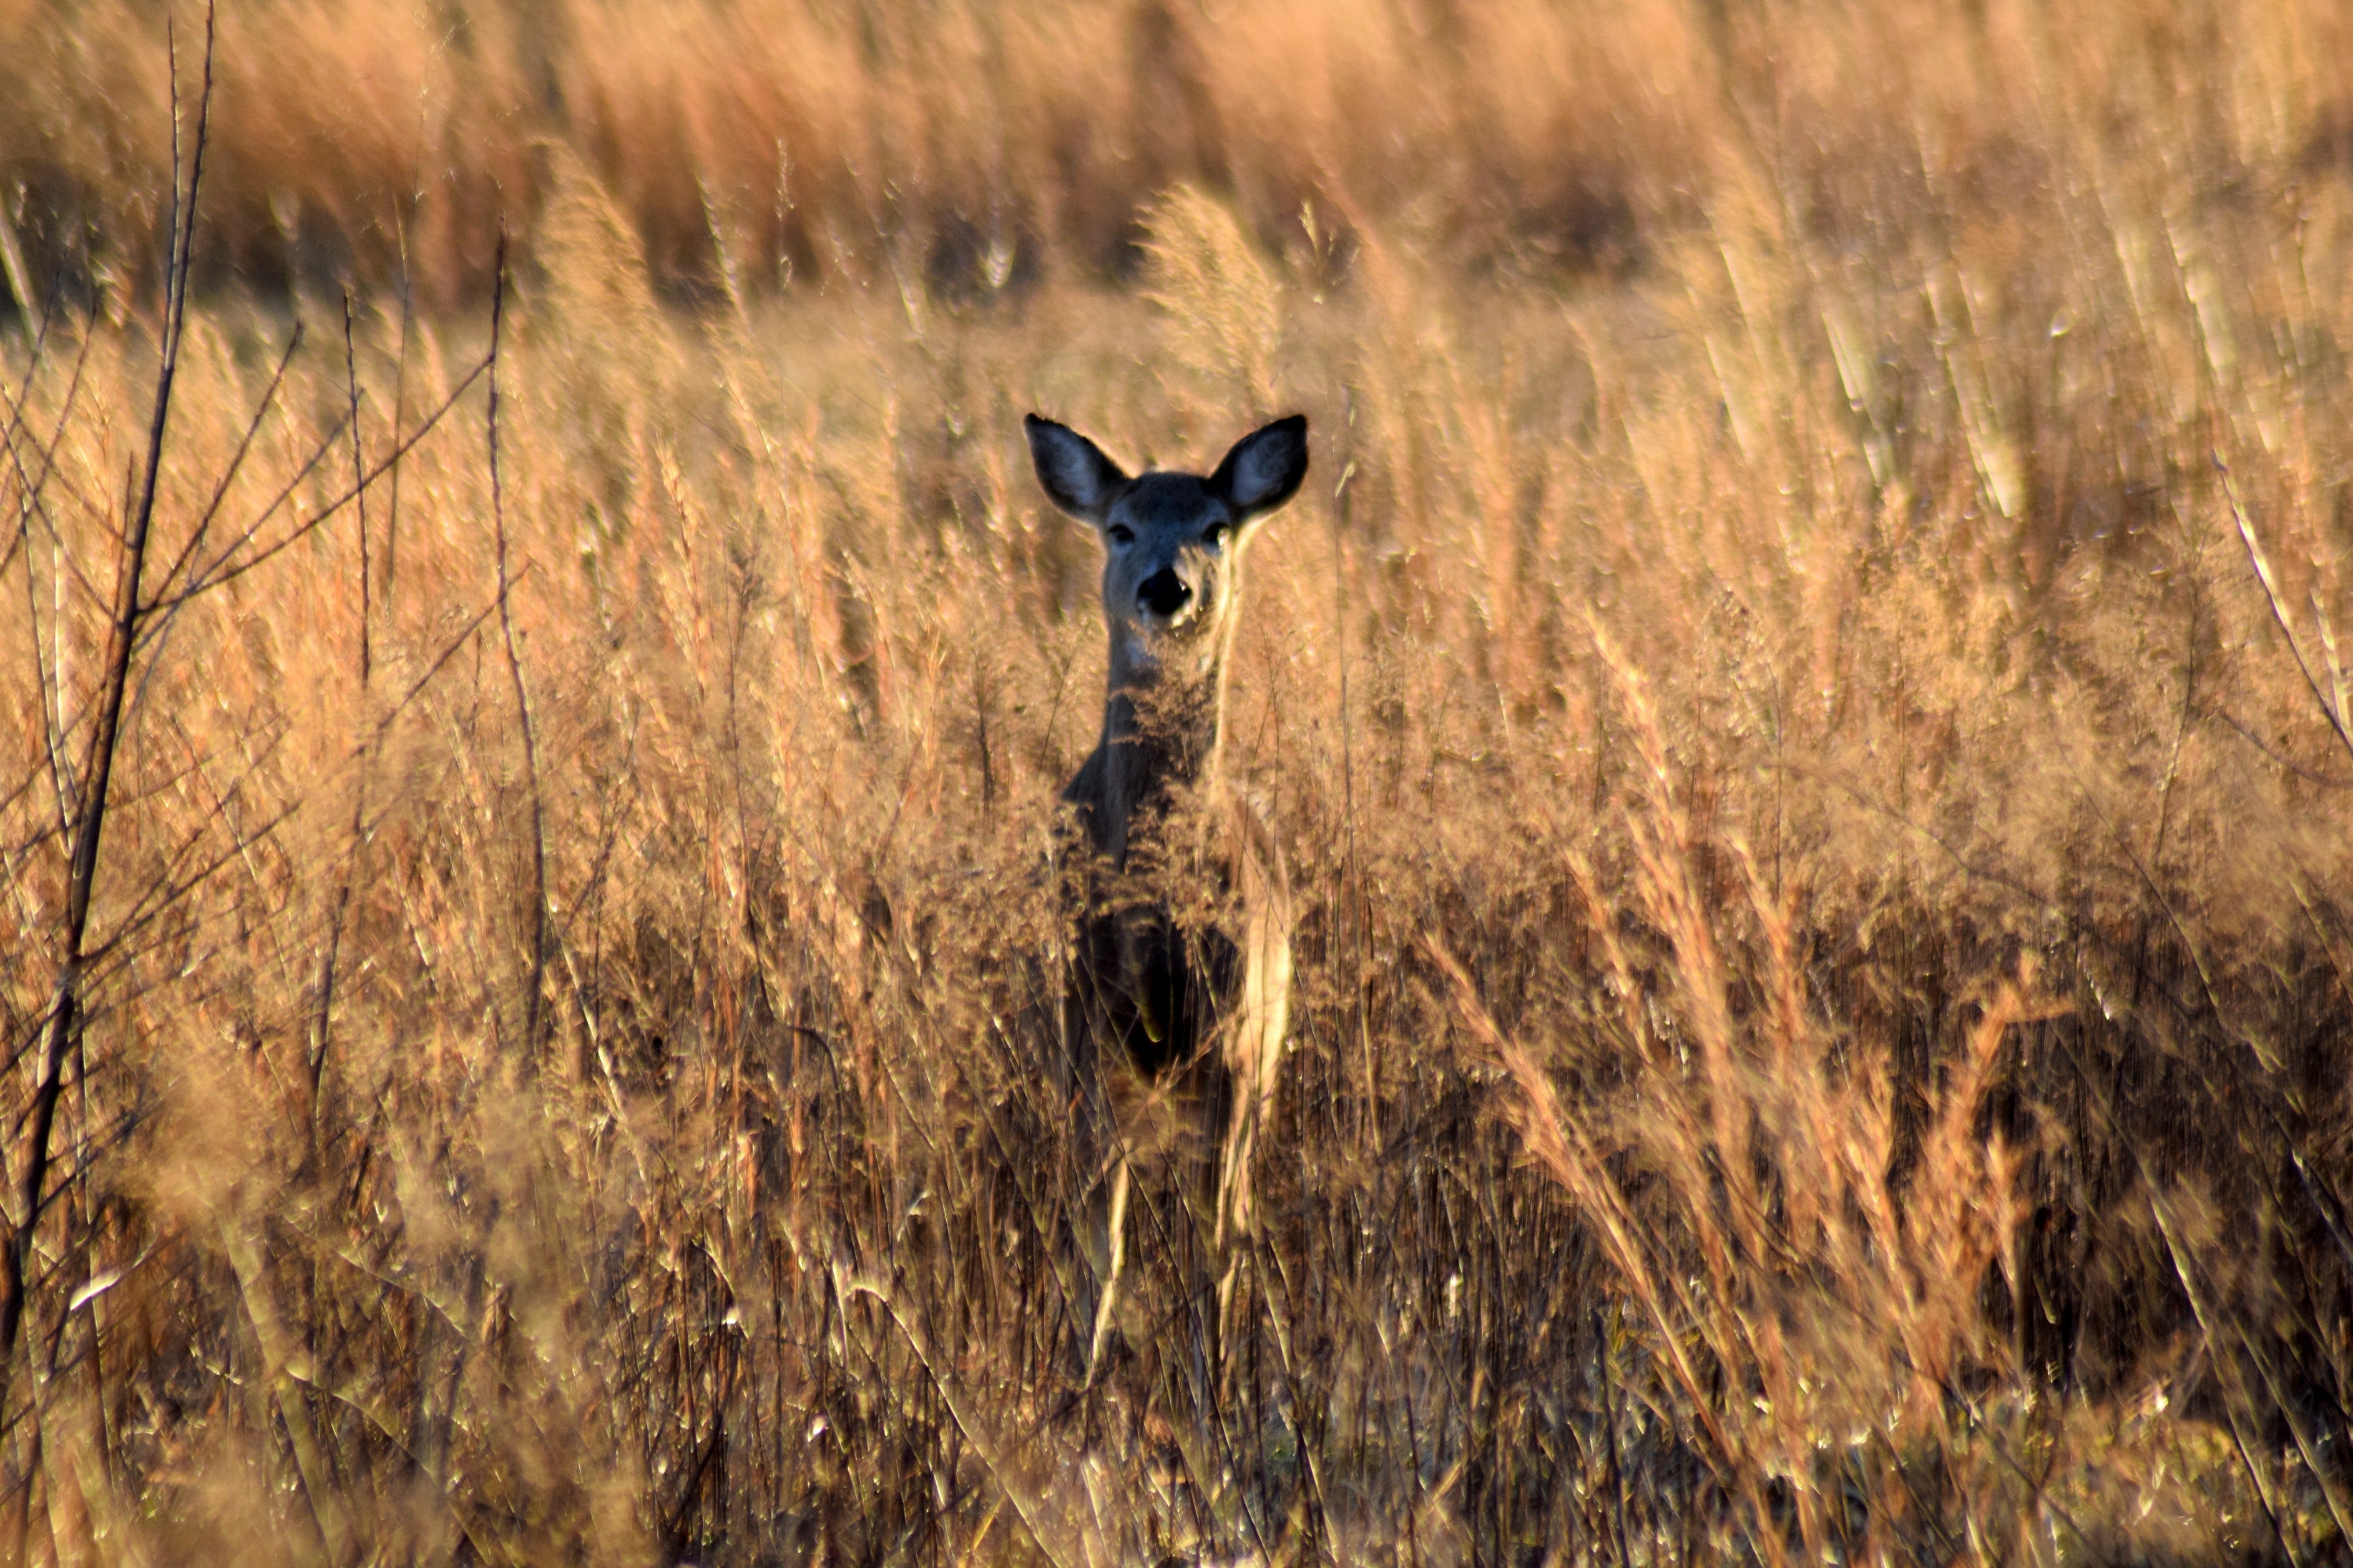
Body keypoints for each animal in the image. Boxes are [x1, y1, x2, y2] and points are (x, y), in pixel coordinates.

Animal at [1024, 411, 1307, 1368]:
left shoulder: (1232, 1039)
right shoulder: (1083, 1036)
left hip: (1263, 1051)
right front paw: (1079, 1379)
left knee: (1235, 1214)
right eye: (1119, 527)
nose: (1165, 586)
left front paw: (1211, 1381)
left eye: (1214, 528)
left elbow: (1209, 1246)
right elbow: (1096, 1242)